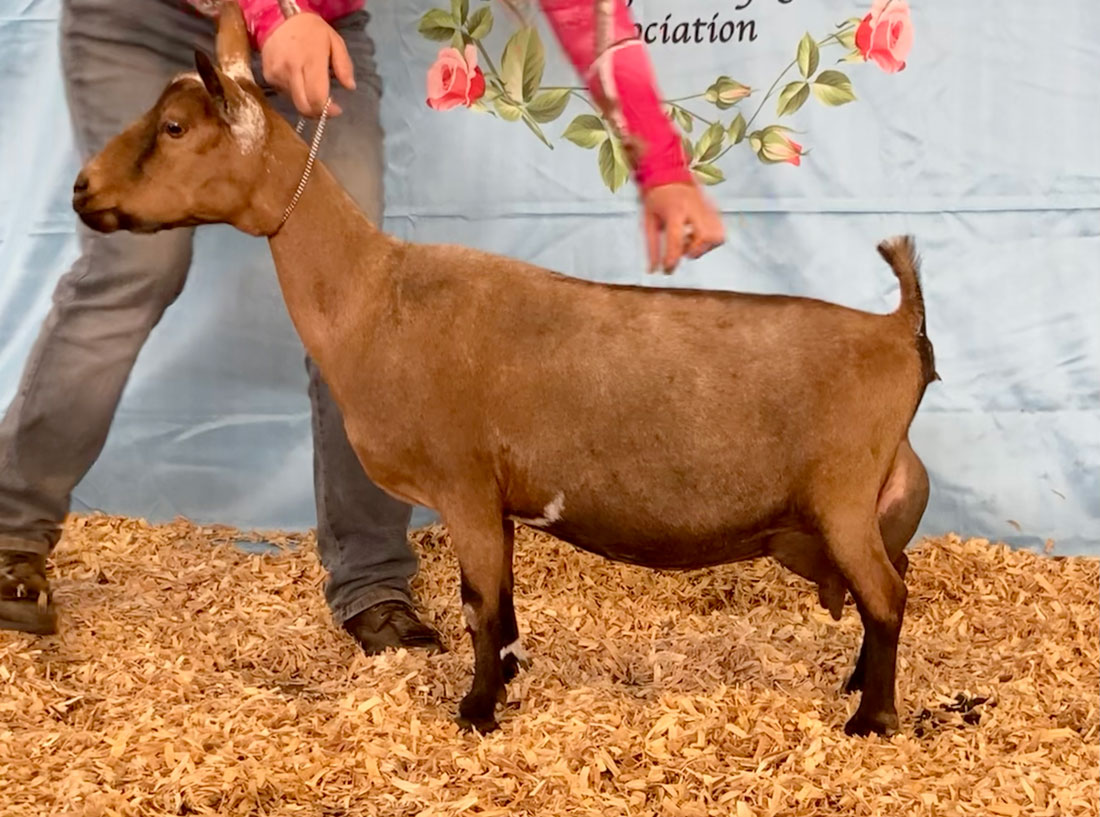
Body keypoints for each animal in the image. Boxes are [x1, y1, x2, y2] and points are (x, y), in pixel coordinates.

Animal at [73, 3, 937, 738]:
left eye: (174, 126)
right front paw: (507, 683)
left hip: (841, 498)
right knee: (887, 582)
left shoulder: (465, 487)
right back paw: (857, 685)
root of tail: (898, 331)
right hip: (858, 507)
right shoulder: (495, 502)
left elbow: (481, 606)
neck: (373, 293)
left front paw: (477, 711)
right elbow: (501, 605)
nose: (82, 189)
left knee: (888, 595)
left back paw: (872, 718)